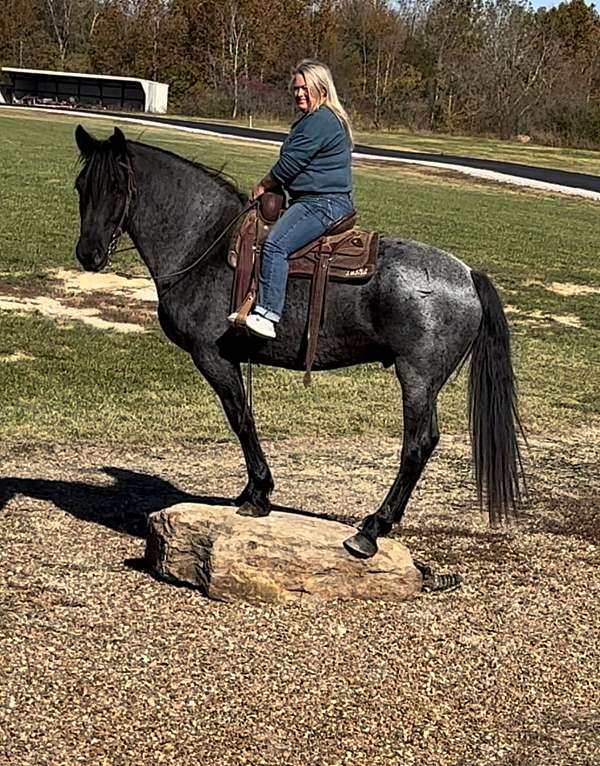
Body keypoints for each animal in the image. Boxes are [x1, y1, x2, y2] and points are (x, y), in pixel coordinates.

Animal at [76, 124, 524, 560]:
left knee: (417, 445)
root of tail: (468, 274)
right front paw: (251, 491)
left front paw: (259, 495)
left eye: (116, 187)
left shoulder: (213, 356)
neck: (205, 245)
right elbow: (245, 417)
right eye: (81, 185)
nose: (88, 254)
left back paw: (370, 531)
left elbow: (241, 418)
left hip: (417, 379)